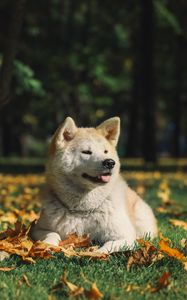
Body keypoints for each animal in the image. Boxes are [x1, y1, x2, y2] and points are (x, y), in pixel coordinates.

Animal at [31, 117, 158, 253]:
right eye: (86, 152)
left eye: (105, 151)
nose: (110, 162)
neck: (83, 210)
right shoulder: (38, 229)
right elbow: (52, 234)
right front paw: (48, 245)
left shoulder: (125, 236)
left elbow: (108, 246)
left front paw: (96, 253)